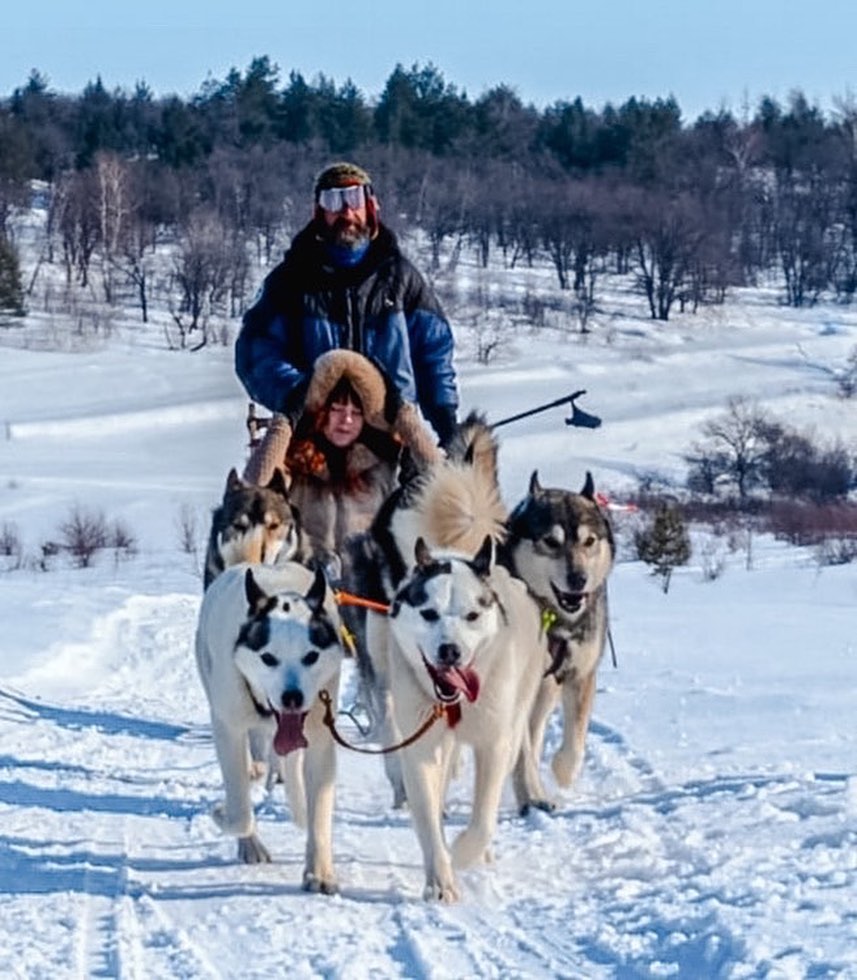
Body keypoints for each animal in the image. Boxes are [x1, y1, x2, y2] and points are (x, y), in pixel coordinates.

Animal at [194, 561, 345, 893]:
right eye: (268, 657)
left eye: (311, 656)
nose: (292, 697)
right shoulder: (228, 728)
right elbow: (240, 813)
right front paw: (222, 813)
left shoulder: (318, 737)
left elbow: (318, 809)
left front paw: (319, 871)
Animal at [386, 535, 550, 902]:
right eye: (428, 613)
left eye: (472, 615)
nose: (450, 650)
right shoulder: (420, 748)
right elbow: (428, 814)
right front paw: (440, 881)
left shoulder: (494, 744)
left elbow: (484, 819)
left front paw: (462, 853)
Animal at [501, 470, 615, 796]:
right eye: (551, 542)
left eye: (589, 541)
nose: (579, 579)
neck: (554, 619)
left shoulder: (581, 674)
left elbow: (575, 741)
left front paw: (563, 773)